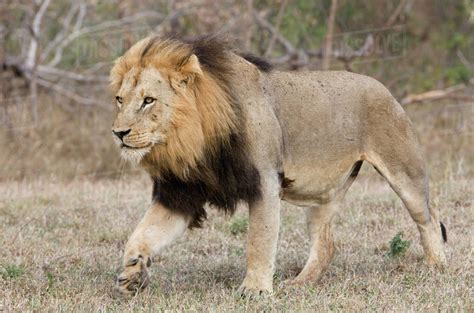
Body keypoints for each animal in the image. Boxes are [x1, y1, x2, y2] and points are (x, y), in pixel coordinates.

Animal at [109, 35, 446, 296]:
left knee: (429, 218)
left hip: (405, 171)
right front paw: (132, 273)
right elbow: (142, 233)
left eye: (149, 101)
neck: (193, 141)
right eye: (120, 100)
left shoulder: (265, 182)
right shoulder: (180, 193)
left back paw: (436, 267)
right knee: (326, 244)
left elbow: (259, 240)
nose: (118, 133)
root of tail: (383, 88)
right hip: (323, 195)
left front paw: (255, 290)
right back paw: (300, 283)